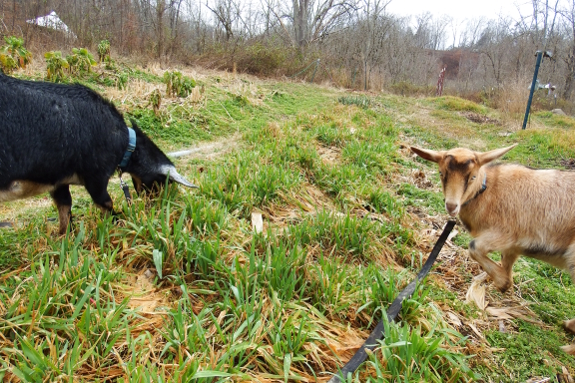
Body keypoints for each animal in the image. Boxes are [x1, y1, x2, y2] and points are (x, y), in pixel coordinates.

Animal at [414, 146, 575, 350]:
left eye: (472, 177)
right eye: (442, 173)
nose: (451, 206)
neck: (488, 190)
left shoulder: (505, 234)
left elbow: (474, 247)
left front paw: (502, 283)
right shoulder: (514, 245)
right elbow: (506, 262)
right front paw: (505, 283)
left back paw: (567, 347)